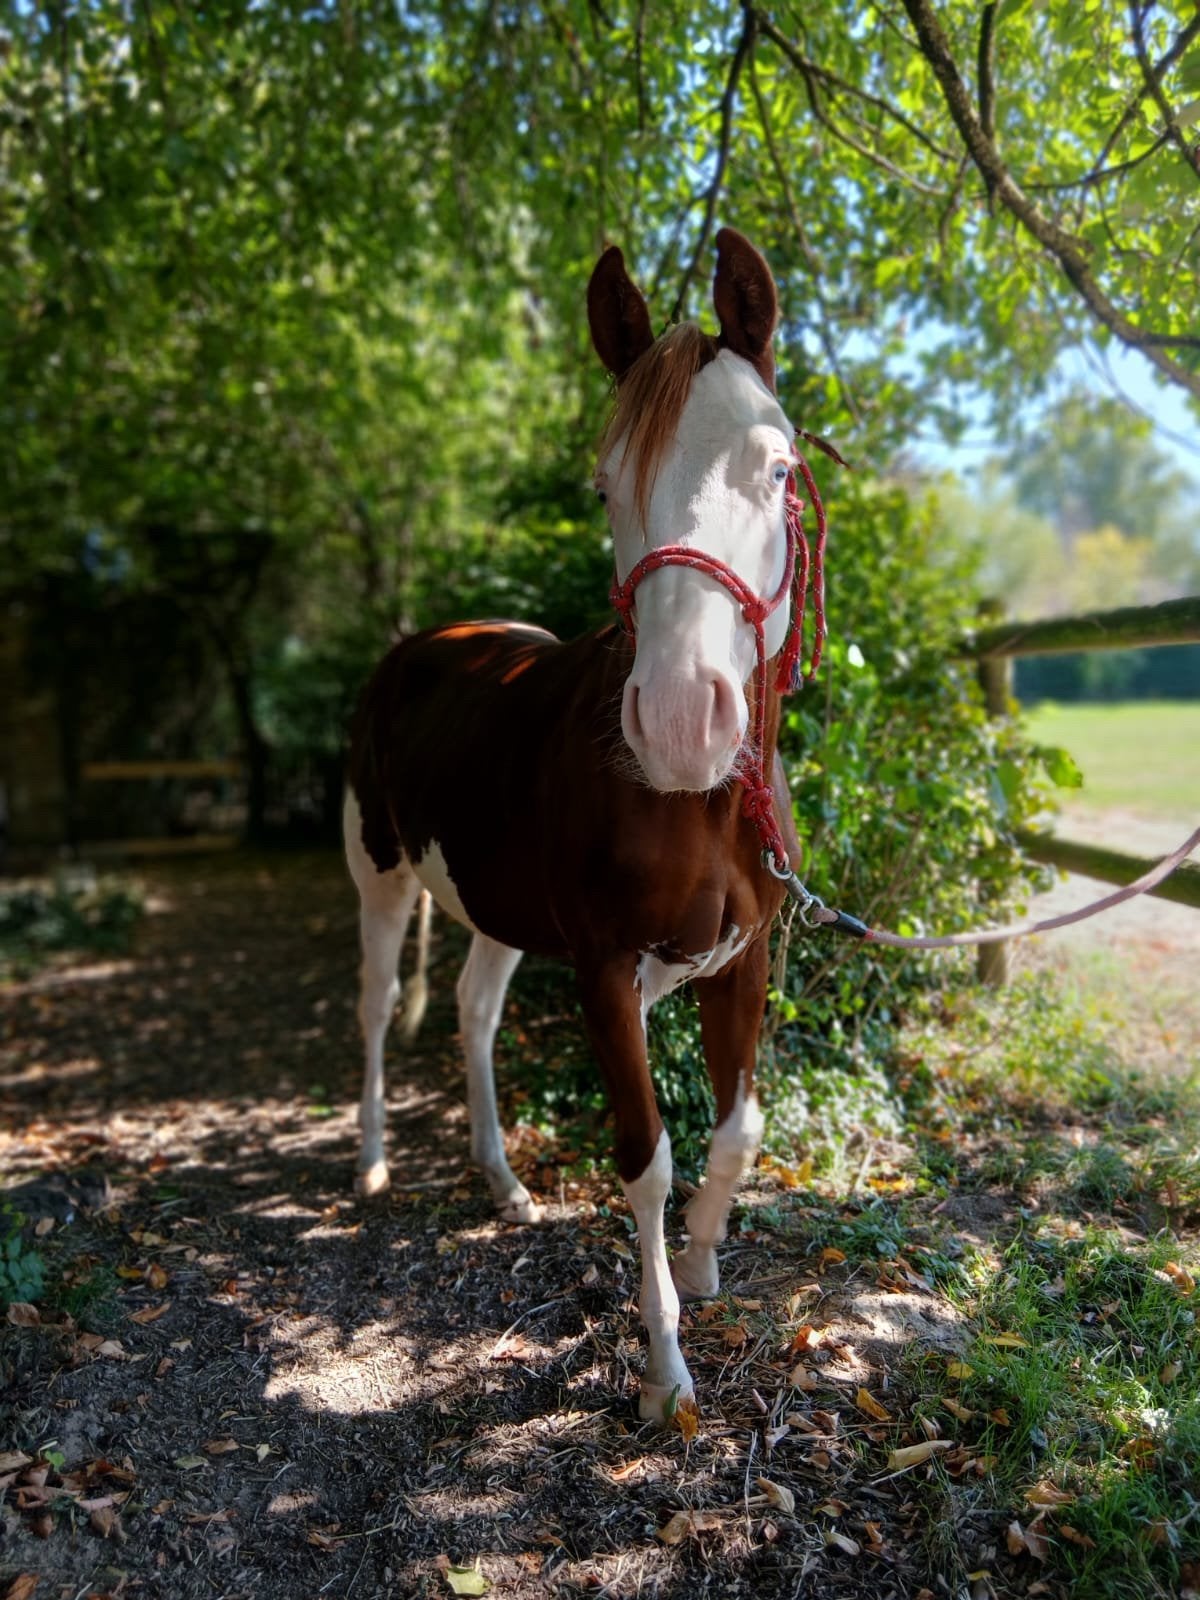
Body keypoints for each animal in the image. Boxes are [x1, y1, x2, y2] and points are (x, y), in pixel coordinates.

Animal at [344, 228, 816, 1422]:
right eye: (606, 486)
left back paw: (502, 1180)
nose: (682, 721)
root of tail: (424, 642)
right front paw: (664, 1371)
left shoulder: (743, 959)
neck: (701, 806)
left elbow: (738, 1129)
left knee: (471, 1013)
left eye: (777, 470)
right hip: (380, 875)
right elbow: (644, 1155)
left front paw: (703, 1259)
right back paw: (370, 1160)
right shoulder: (605, 970)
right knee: (375, 1006)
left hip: (493, 909)